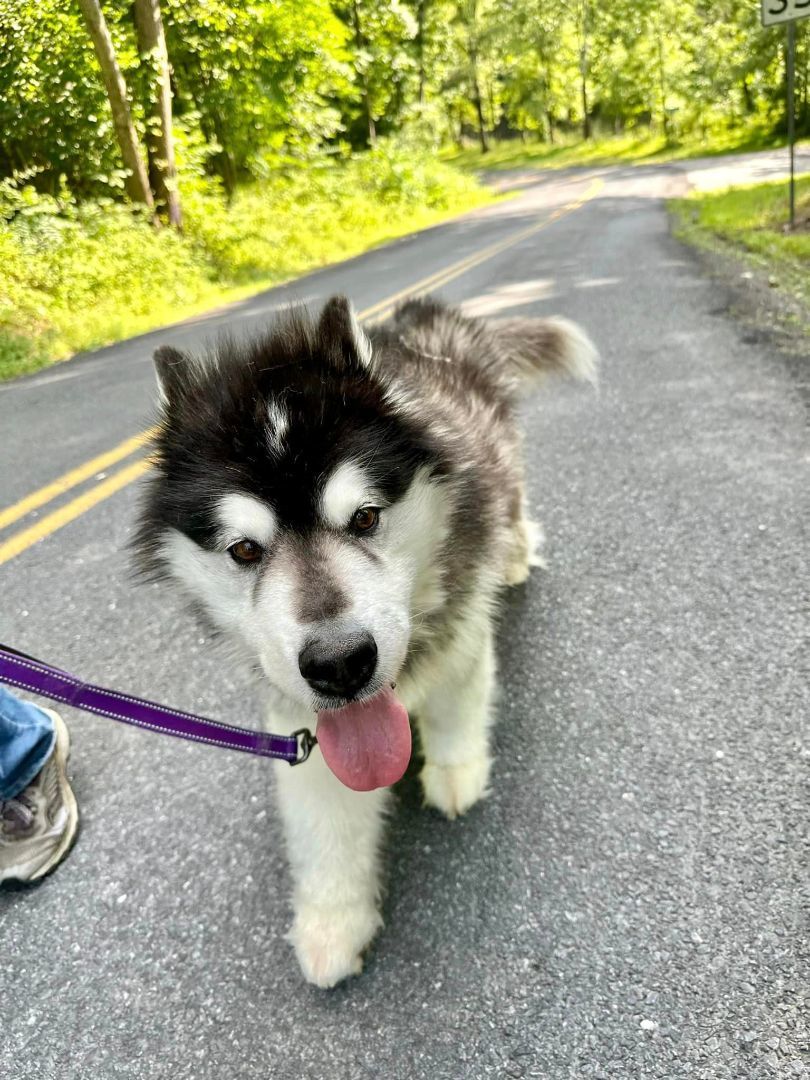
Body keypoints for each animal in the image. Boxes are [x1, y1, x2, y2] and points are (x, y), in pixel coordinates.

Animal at [135, 295, 596, 989]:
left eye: (366, 517)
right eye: (244, 550)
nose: (340, 664)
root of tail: (419, 317)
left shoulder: (462, 625)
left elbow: (458, 700)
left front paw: (456, 769)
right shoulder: (302, 725)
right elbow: (325, 827)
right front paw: (333, 921)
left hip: (500, 458)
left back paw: (516, 555)